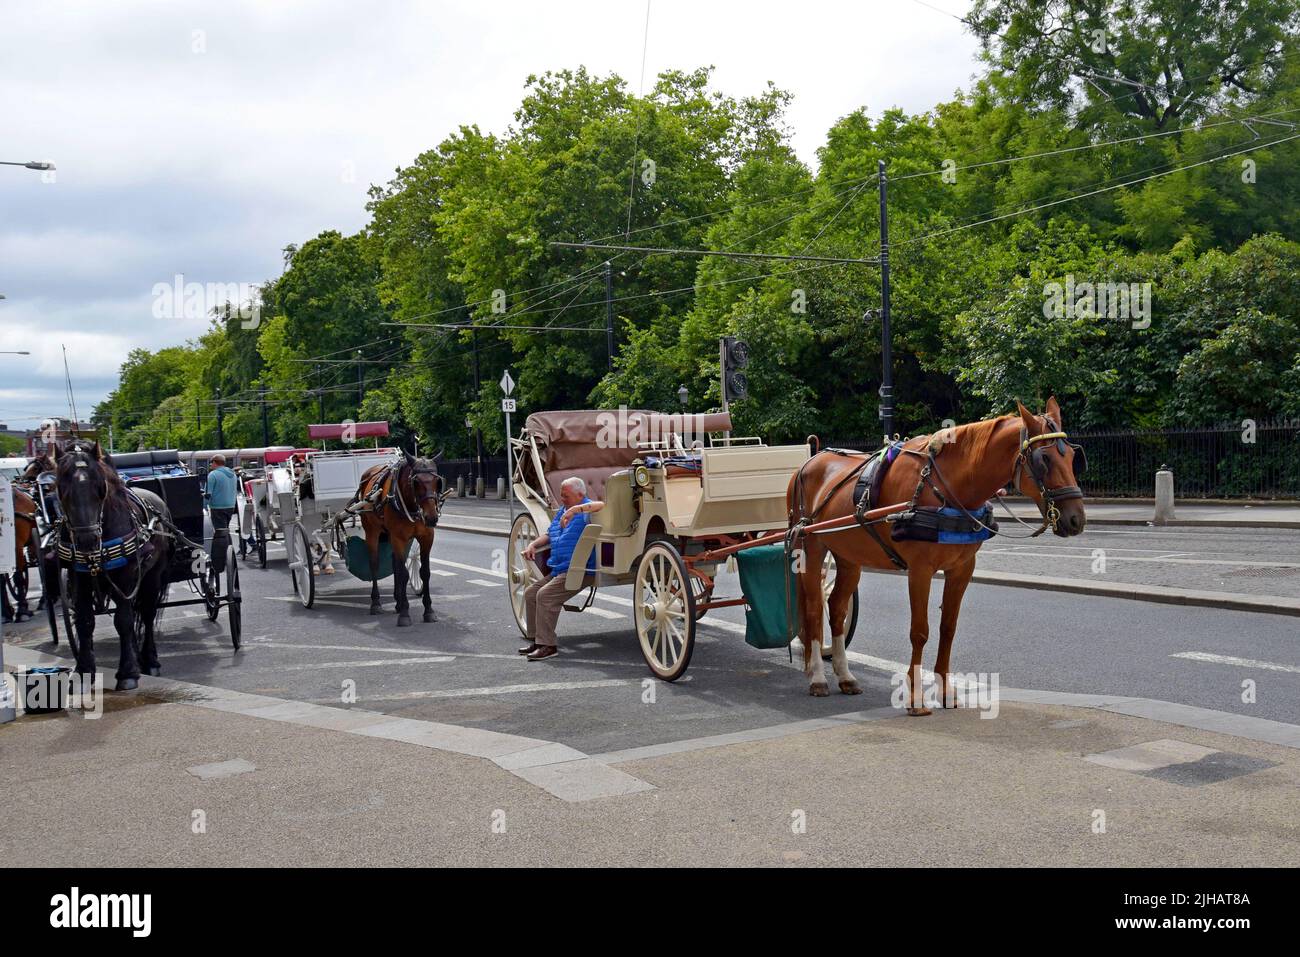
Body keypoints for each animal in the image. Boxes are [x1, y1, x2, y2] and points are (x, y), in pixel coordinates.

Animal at [54, 440, 173, 690]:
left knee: (147, 613)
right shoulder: (78, 578)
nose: (87, 540)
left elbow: (124, 620)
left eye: (100, 488)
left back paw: (150, 660)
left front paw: (127, 672)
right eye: (61, 488)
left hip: (152, 577)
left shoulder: (125, 577)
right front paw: (83, 670)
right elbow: (84, 620)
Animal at [346, 450, 447, 626]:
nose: (431, 517)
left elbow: (424, 572)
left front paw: (428, 610)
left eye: (437, 481)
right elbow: (404, 574)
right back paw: (376, 603)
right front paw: (405, 614)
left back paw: (398, 601)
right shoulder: (398, 538)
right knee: (375, 564)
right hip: (372, 532)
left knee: (395, 565)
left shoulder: (426, 538)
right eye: (416, 482)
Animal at [788, 397, 1087, 712]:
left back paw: (845, 675)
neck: (946, 488)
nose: (1076, 519)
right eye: (1045, 460)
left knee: (835, 608)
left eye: (1072, 457)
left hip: (849, 556)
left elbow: (948, 628)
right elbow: (920, 631)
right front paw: (916, 697)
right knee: (813, 610)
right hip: (810, 550)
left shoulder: (962, 569)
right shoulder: (920, 570)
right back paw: (817, 676)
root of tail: (810, 462)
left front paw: (945, 691)